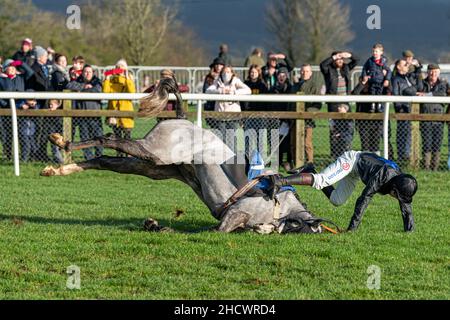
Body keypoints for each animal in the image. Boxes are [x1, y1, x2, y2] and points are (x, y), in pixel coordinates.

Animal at [41, 77, 326, 232]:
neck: (279, 205)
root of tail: (181, 118)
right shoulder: (233, 217)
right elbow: (206, 230)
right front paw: (157, 226)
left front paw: (153, 224)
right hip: (155, 152)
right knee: (108, 139)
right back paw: (63, 143)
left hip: (155, 167)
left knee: (103, 160)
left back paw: (59, 168)